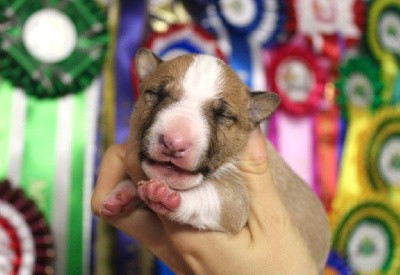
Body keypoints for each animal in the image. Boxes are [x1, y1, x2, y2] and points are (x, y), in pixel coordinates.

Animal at [102, 48, 332, 270]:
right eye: (156, 94)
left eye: (223, 115)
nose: (174, 143)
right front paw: (123, 193)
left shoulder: (237, 197)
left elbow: (209, 197)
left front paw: (167, 197)